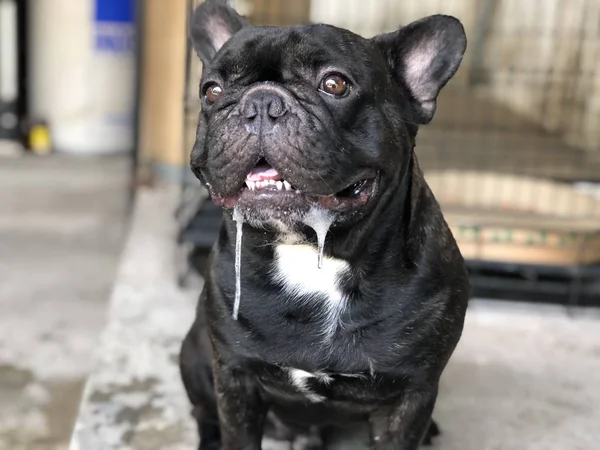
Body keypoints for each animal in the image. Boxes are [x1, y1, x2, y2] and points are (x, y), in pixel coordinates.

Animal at [180, 1, 472, 448]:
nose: (260, 101)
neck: (313, 255)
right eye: (211, 90)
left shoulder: (412, 394)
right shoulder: (233, 375)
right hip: (195, 354)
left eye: (334, 84)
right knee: (203, 412)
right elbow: (234, 428)